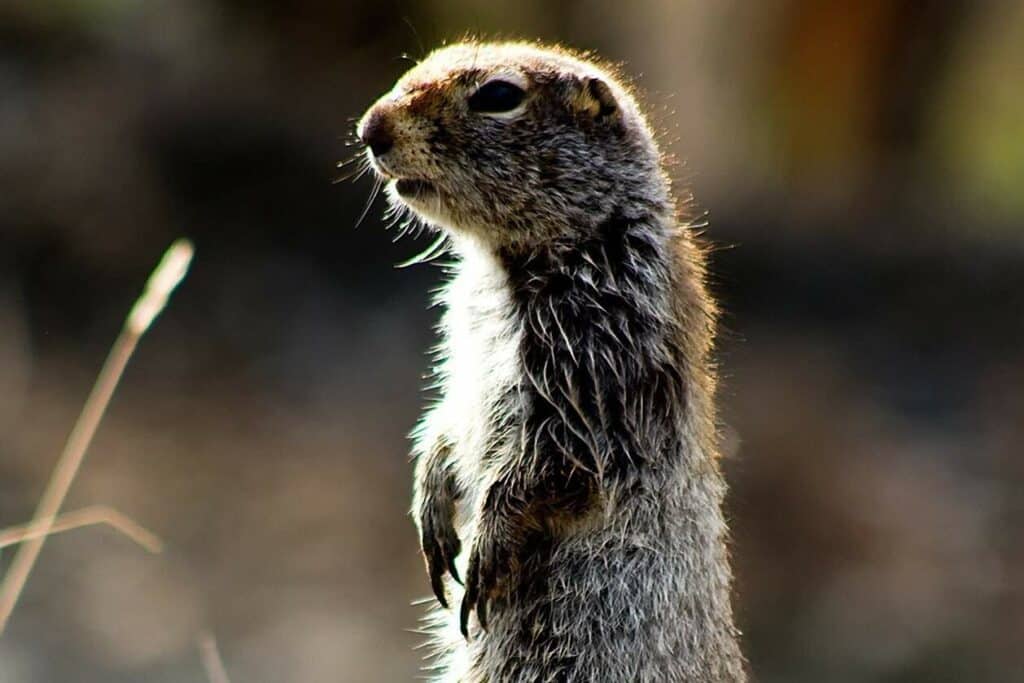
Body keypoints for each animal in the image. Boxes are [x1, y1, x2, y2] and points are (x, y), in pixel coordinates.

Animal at [357, 41, 746, 683]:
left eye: (498, 95)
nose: (369, 129)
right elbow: (448, 417)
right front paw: (430, 499)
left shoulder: (599, 341)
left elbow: (558, 455)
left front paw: (486, 543)